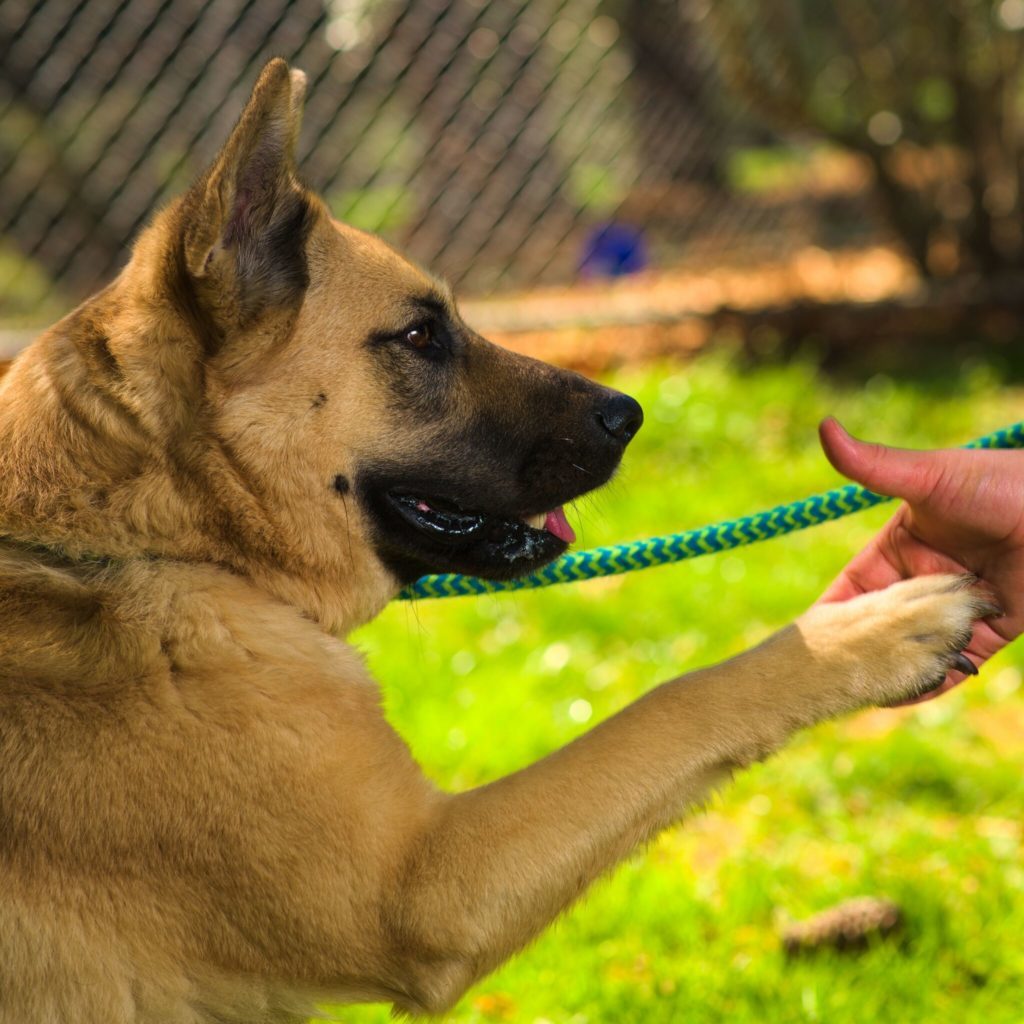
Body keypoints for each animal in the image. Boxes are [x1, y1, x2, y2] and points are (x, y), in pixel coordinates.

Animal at [0, 59, 995, 1019]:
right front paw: (875, 629)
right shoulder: (423, 888)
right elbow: (677, 702)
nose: (631, 414)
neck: (151, 541)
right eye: (419, 335)